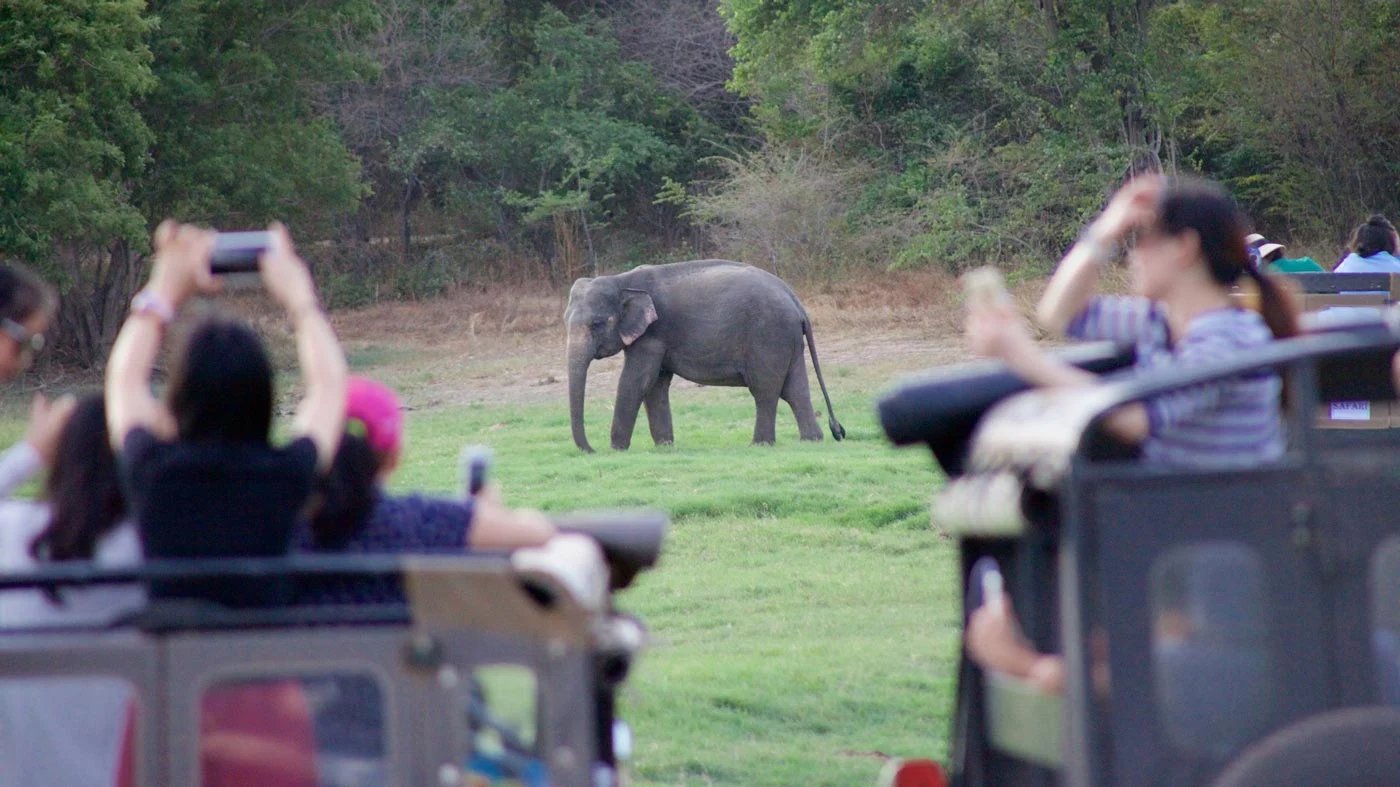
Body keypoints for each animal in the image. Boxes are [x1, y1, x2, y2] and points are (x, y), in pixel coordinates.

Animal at [564, 259, 846, 452]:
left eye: (597, 324)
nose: (592, 450)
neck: (621, 280)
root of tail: (796, 301)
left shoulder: (653, 334)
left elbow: (636, 381)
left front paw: (618, 449)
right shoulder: (657, 338)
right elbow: (655, 385)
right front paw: (665, 446)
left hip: (768, 336)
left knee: (765, 390)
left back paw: (760, 445)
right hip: (788, 340)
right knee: (795, 390)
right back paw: (812, 440)